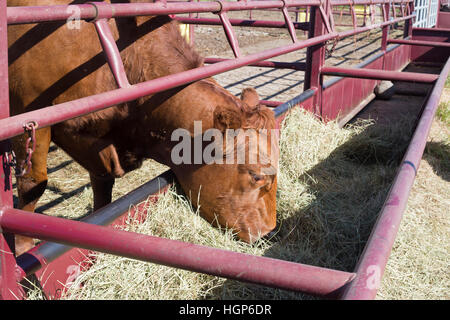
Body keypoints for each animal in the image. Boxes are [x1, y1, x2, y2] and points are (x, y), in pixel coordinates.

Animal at [7, 0, 278, 255]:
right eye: (256, 175)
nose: (268, 231)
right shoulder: (29, 115)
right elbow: (33, 184)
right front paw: (22, 249)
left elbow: (103, 188)